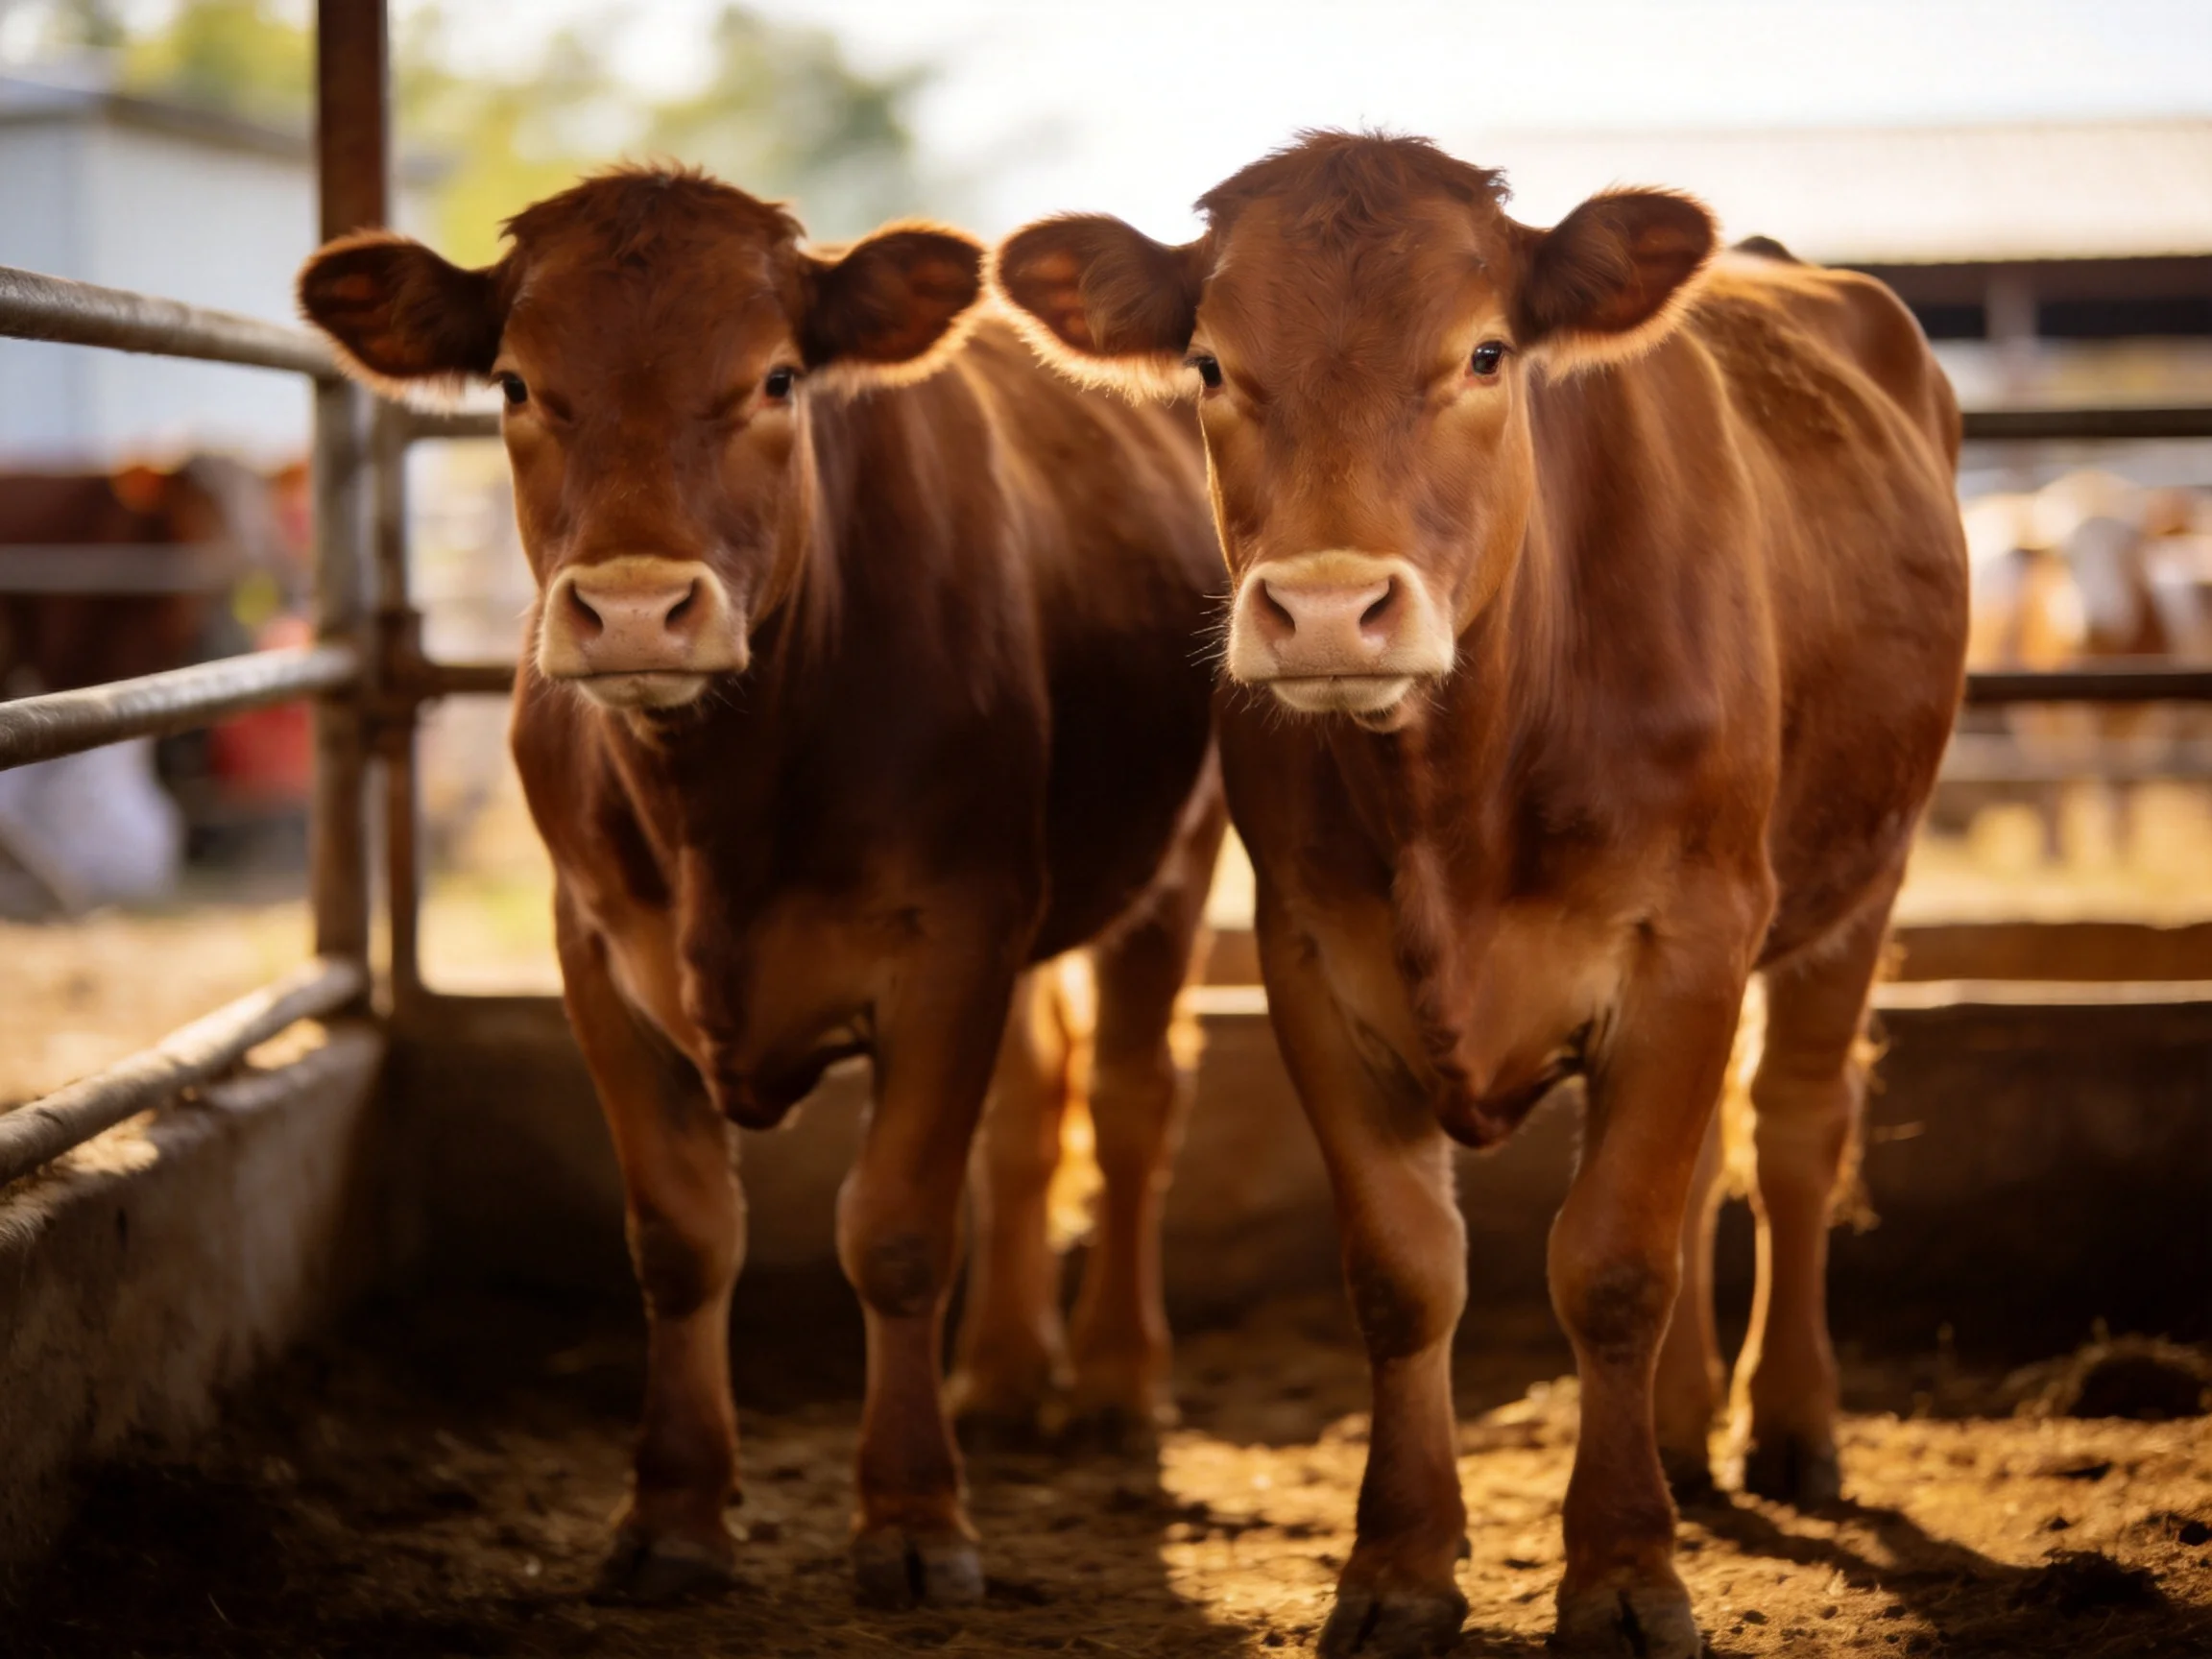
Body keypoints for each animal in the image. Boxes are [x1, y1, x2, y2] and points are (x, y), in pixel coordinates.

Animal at [296, 169, 1225, 1605]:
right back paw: (1003, 1376)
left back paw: (1117, 1383)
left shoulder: (951, 936)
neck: (716, 809)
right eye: (514, 383)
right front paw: (671, 1513)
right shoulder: (596, 947)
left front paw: (912, 1520)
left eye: (779, 377)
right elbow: (681, 1240)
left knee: (1133, 1101)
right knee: (1030, 1115)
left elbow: (896, 1232)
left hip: (1176, 855)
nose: (632, 610)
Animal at [995, 132, 1969, 1657]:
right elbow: (1407, 1272)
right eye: (1209, 364)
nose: (1328, 611)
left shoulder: (1690, 937)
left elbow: (1614, 1264)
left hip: (1861, 878)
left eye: (1487, 352)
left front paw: (1625, 1574)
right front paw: (1398, 1566)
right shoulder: (1311, 959)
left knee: (1798, 1131)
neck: (1462, 782)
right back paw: (1683, 1432)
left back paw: (1789, 1428)